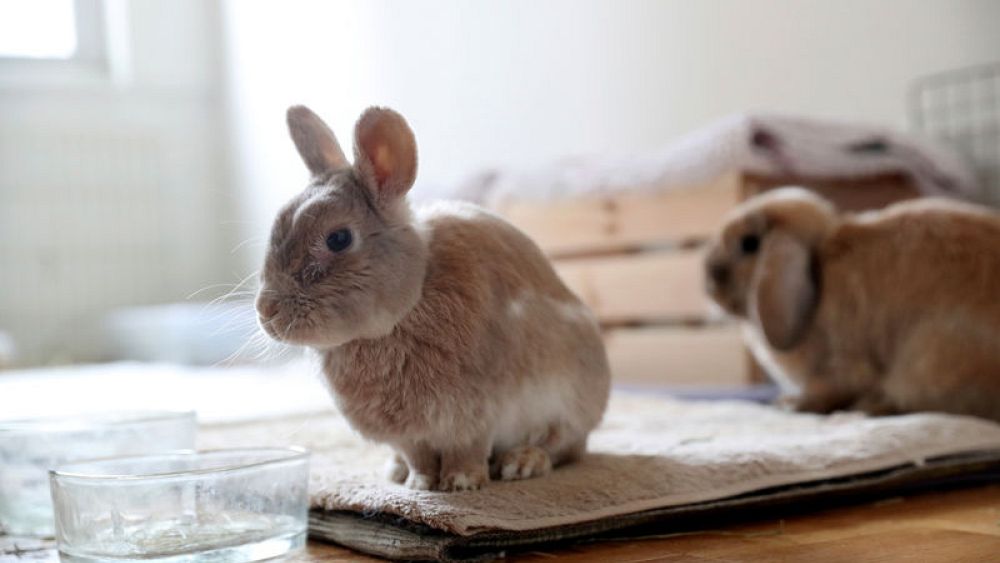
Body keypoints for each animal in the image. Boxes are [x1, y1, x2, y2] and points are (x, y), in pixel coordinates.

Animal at [255, 105, 611, 491]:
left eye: (338, 239)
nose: (266, 311)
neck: (412, 297)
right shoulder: (410, 435)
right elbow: (419, 456)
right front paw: (419, 484)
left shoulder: (474, 415)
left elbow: (467, 452)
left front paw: (461, 483)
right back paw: (396, 471)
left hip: (567, 404)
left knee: (564, 446)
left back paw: (522, 463)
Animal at [704, 187, 1000, 422]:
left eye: (749, 243)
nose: (708, 280)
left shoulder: (843, 364)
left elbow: (829, 387)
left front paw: (793, 405)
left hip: (929, 359)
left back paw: (867, 407)